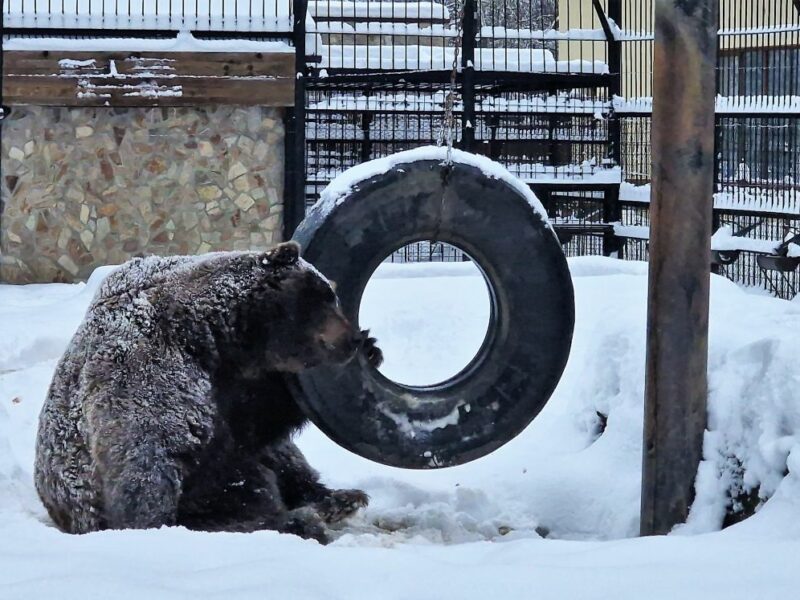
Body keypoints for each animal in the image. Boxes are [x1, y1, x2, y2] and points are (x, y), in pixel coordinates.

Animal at [32, 240, 380, 544]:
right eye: (323, 297)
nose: (353, 340)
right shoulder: (149, 371)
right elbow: (147, 461)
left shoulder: (233, 387)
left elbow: (256, 425)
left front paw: (373, 348)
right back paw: (299, 519)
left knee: (285, 459)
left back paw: (339, 498)